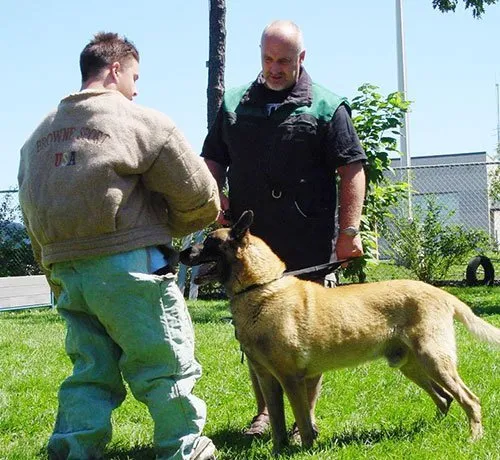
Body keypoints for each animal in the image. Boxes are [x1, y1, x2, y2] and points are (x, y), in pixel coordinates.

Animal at [180, 210, 500, 452]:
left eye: (209, 243)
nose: (181, 252)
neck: (262, 288)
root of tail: (442, 293)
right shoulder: (267, 379)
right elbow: (278, 426)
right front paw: (279, 451)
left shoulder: (291, 379)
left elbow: (302, 419)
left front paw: (305, 448)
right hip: (412, 365)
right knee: (445, 398)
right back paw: (428, 430)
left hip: (433, 360)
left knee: (469, 399)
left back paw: (474, 438)